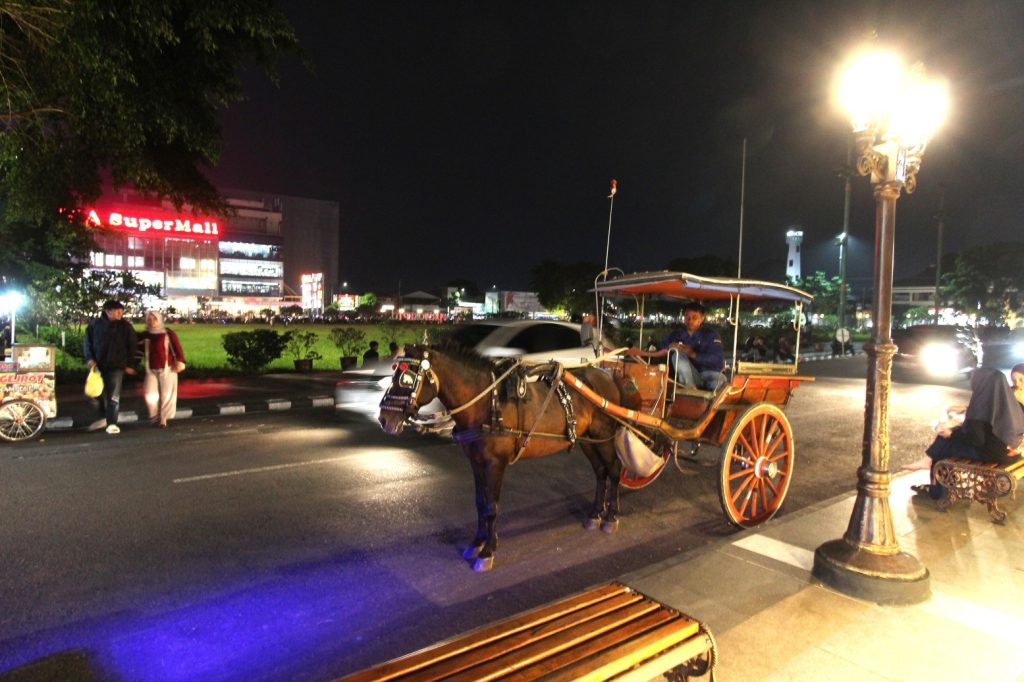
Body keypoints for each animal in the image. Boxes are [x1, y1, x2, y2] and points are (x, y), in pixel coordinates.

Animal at [377, 343, 625, 571]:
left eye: (407, 378)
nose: (384, 419)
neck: (486, 402)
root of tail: (607, 376)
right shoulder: (476, 462)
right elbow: (480, 502)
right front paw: (477, 542)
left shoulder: (495, 464)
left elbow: (491, 506)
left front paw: (487, 551)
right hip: (588, 440)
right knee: (600, 472)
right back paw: (595, 514)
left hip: (604, 436)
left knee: (614, 470)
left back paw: (611, 516)